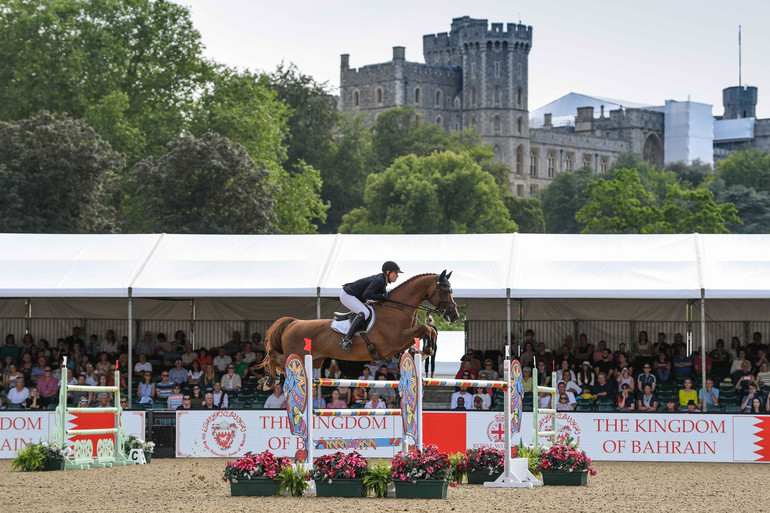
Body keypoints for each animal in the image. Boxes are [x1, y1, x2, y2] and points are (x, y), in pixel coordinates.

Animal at [260, 272, 460, 384]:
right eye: (444, 290)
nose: (454, 315)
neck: (398, 308)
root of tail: (293, 323)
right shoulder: (395, 341)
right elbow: (425, 328)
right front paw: (427, 349)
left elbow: (429, 330)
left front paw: (426, 350)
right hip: (296, 355)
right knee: (273, 355)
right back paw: (270, 379)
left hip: (315, 360)